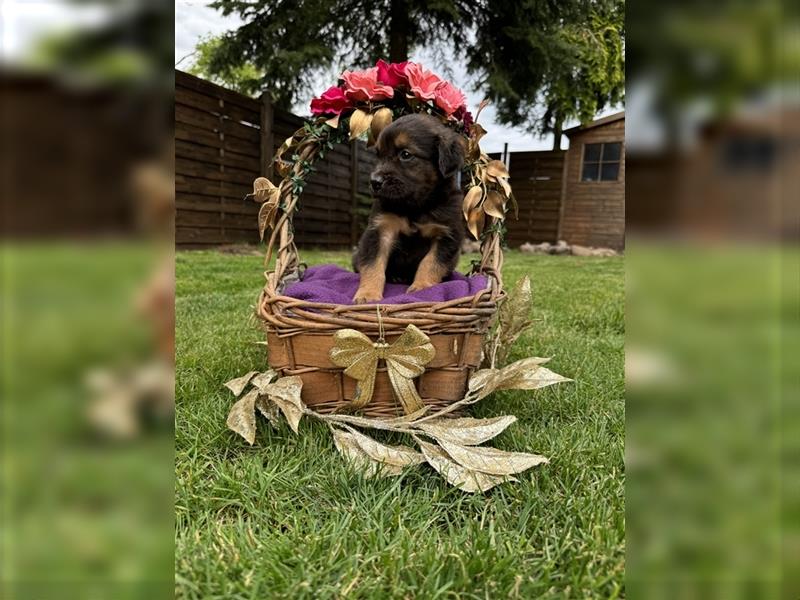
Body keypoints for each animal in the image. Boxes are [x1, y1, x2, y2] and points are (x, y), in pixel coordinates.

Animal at [354, 112, 466, 302]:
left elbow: (431, 263)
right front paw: (368, 294)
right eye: (379, 155)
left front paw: (422, 287)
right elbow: (373, 264)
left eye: (405, 154)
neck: (416, 206)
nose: (374, 182)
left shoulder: (446, 235)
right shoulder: (380, 230)